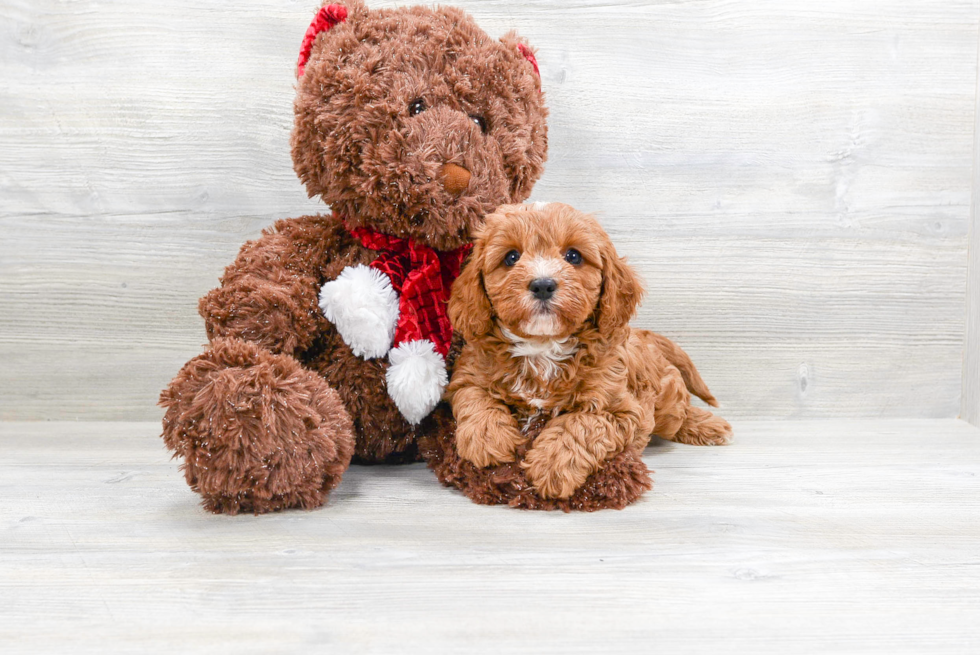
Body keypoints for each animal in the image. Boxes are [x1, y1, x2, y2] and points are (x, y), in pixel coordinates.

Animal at [448, 202, 732, 500]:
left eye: (573, 256)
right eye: (511, 257)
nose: (542, 285)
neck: (542, 346)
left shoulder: (622, 409)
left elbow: (581, 424)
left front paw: (552, 465)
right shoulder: (466, 374)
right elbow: (476, 398)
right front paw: (487, 439)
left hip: (666, 402)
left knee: (679, 412)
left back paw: (708, 425)